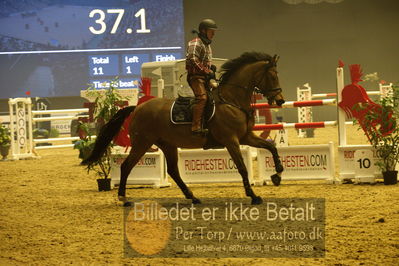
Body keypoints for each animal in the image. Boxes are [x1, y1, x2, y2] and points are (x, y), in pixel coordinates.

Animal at [83, 52, 286, 206]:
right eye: (272, 75)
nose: (280, 100)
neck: (231, 101)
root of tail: (138, 108)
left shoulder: (245, 137)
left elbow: (271, 147)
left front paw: (277, 173)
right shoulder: (231, 141)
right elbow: (243, 168)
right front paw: (253, 196)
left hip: (168, 145)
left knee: (173, 170)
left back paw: (193, 197)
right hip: (142, 143)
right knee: (126, 166)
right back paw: (123, 198)